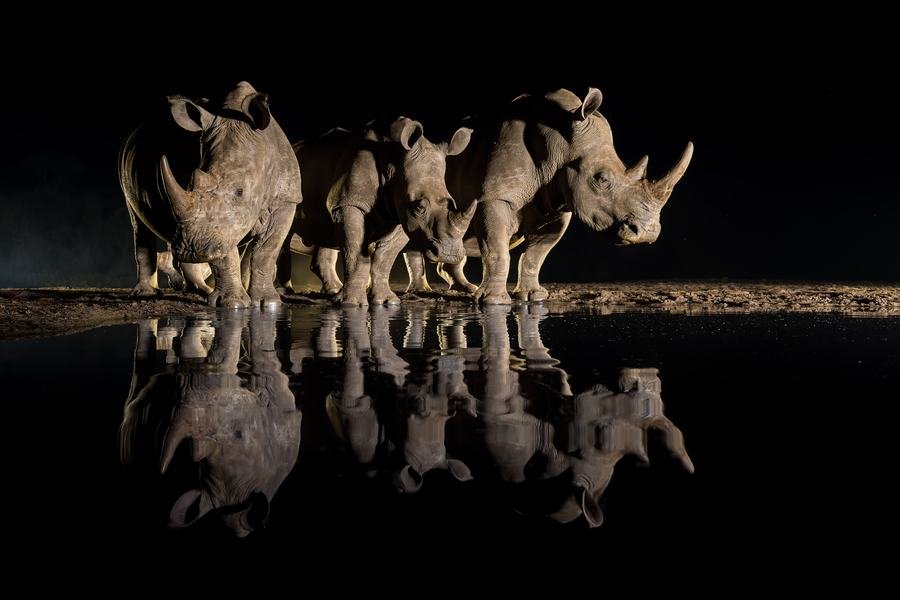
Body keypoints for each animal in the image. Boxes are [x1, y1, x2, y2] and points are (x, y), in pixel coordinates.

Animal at [120, 81, 301, 308]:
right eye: (191, 181)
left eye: (240, 192)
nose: (192, 250)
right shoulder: (219, 221)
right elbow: (225, 253)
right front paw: (232, 303)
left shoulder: (286, 199)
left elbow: (266, 251)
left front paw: (267, 303)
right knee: (139, 223)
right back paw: (148, 294)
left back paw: (198, 289)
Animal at [276, 118, 476, 305]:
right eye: (419, 207)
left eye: (452, 203)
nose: (449, 254)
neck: (394, 163)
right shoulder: (350, 204)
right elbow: (354, 251)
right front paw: (352, 303)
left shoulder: (401, 215)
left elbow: (385, 257)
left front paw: (386, 301)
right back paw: (285, 292)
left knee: (324, 230)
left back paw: (333, 290)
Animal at [405, 88, 694, 303]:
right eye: (602, 179)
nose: (647, 234)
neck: (562, 142)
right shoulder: (496, 197)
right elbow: (497, 250)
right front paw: (493, 301)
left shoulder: (557, 205)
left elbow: (537, 253)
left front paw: (533, 296)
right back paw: (424, 292)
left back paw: (464, 289)